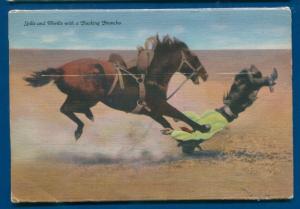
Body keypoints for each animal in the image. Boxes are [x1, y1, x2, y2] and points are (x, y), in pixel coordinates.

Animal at [24, 35, 210, 140]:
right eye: (194, 58)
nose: (205, 74)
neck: (151, 78)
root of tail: (61, 70)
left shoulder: (152, 112)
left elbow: (168, 124)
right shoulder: (161, 106)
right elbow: (181, 115)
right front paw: (203, 128)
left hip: (77, 96)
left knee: (65, 109)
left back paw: (85, 120)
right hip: (90, 97)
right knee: (69, 109)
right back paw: (84, 122)